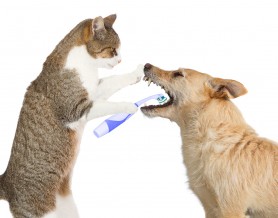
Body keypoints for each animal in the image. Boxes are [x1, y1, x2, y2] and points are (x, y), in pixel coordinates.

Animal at [0, 14, 143, 217]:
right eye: (113, 50)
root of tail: (7, 181)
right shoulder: (77, 109)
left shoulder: (95, 92)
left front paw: (135, 73)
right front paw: (129, 106)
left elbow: (114, 80)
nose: (120, 60)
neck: (86, 66)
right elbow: (110, 105)